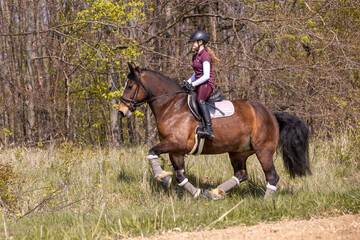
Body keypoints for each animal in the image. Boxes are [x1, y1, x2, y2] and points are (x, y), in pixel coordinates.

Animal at [118, 62, 310, 199]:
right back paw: (214, 193)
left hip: (263, 150)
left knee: (272, 176)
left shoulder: (175, 143)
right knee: (241, 174)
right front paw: (197, 193)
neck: (171, 105)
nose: (121, 111)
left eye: (130, 86)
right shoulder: (176, 150)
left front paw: (162, 177)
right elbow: (180, 176)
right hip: (238, 152)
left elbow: (151, 152)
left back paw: (266, 201)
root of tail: (270, 114)